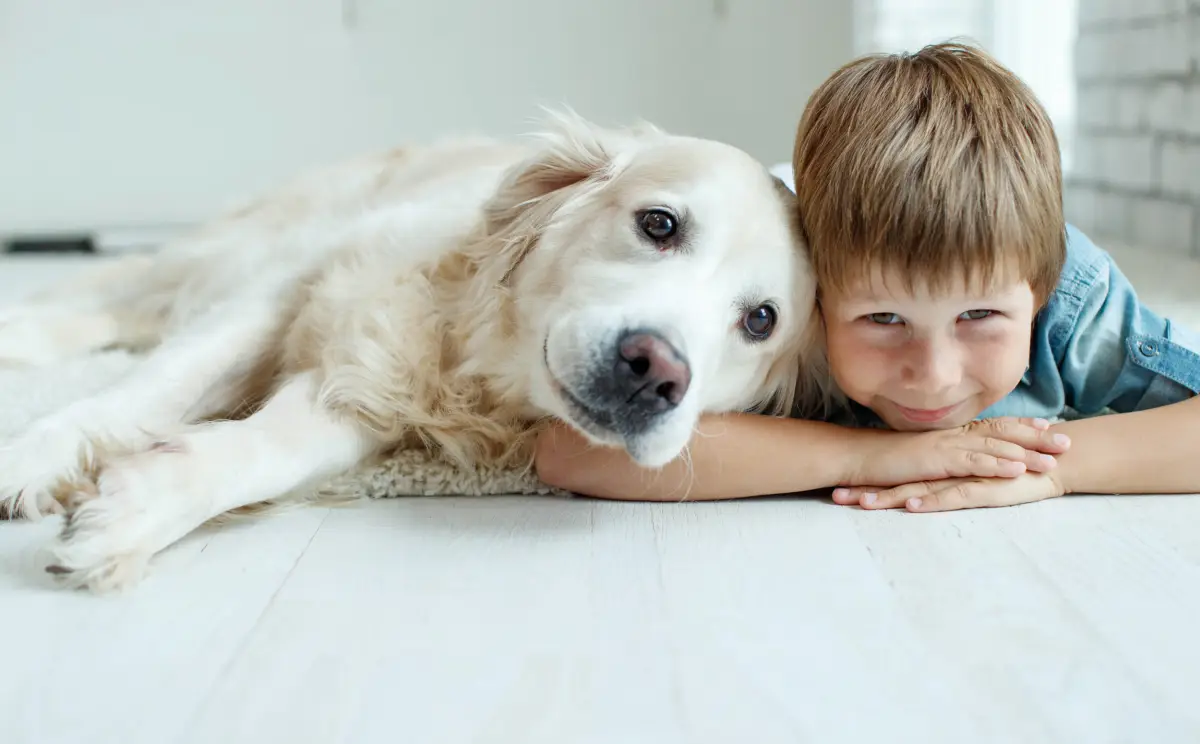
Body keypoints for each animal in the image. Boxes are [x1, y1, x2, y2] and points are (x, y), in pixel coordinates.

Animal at [0, 111, 825, 592]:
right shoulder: (290, 288)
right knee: (110, 295)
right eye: (658, 224)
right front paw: (29, 460)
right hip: (234, 247)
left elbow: (265, 453)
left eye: (760, 320)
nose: (656, 372)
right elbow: (146, 388)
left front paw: (136, 508)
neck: (476, 352)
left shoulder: (363, 390)